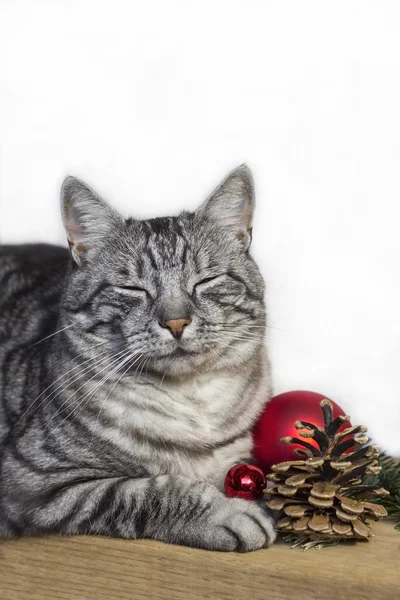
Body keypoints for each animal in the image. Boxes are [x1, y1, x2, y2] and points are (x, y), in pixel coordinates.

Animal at [0, 166, 276, 552]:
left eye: (205, 281)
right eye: (133, 289)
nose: (176, 322)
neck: (192, 406)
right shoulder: (31, 481)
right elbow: (150, 491)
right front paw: (228, 513)